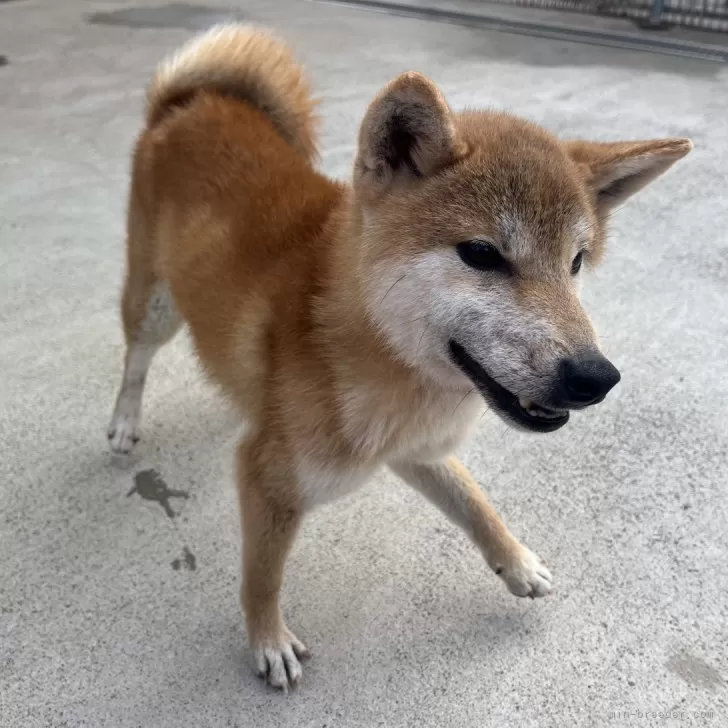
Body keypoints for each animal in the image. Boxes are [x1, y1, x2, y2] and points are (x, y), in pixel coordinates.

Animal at [106, 25, 688, 692]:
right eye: (481, 253)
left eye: (576, 262)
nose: (598, 377)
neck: (373, 355)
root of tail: (192, 101)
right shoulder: (268, 479)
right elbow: (263, 576)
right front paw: (268, 639)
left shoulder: (414, 448)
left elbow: (474, 503)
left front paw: (516, 562)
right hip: (156, 305)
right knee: (135, 359)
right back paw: (123, 421)